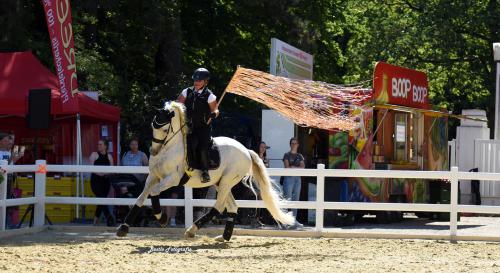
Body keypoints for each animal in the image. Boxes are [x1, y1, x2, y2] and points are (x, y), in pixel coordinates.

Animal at [117, 100, 294, 240]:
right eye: (153, 126)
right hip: (221, 183)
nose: (153, 151)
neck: (169, 148)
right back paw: (224, 237)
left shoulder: (172, 179)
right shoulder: (153, 176)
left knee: (218, 207)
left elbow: (153, 193)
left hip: (227, 181)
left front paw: (162, 218)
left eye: (165, 129)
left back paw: (192, 230)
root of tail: (246, 150)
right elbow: (140, 198)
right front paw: (123, 228)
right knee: (232, 207)